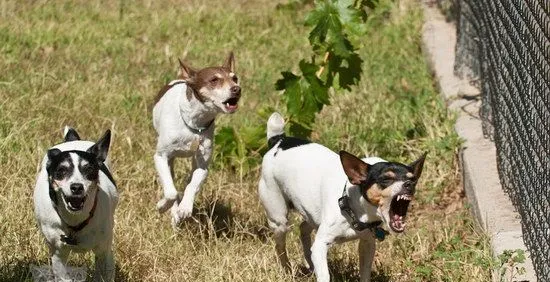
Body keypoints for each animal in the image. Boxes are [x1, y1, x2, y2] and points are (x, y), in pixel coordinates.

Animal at [33, 128, 118, 282]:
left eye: (89, 169)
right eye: (61, 171)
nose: (77, 187)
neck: (76, 220)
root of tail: (73, 140)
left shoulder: (104, 252)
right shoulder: (58, 255)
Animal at [154, 51, 243, 226]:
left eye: (234, 78)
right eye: (214, 80)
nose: (237, 89)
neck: (195, 124)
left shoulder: (202, 166)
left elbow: (192, 185)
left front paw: (185, 208)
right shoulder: (160, 156)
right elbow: (171, 192)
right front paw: (163, 206)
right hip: (170, 159)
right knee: (171, 183)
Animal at [258, 113, 426, 282]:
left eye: (413, 179)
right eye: (386, 179)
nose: (409, 185)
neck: (351, 207)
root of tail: (278, 140)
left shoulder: (367, 243)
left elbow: (365, 272)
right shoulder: (320, 245)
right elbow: (324, 274)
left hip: (311, 214)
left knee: (304, 228)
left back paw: (309, 262)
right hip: (278, 220)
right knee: (280, 246)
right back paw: (287, 270)